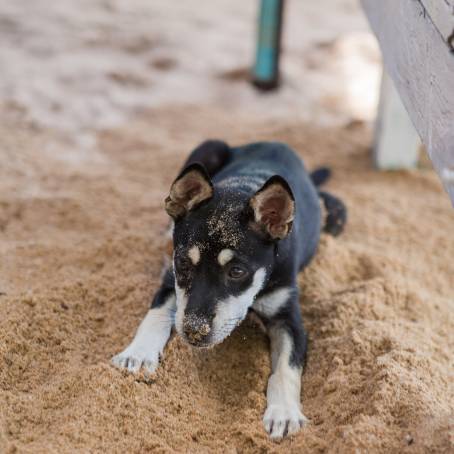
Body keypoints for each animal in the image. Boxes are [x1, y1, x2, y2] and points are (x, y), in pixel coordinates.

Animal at [111, 141, 346, 440]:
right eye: (183, 263)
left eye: (236, 272)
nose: (194, 332)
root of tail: (276, 143)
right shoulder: (169, 280)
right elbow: (155, 314)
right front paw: (139, 354)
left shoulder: (289, 317)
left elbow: (287, 366)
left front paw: (283, 413)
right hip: (209, 146)